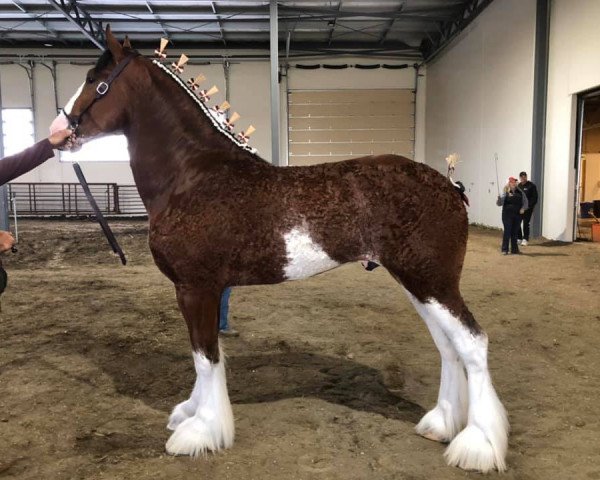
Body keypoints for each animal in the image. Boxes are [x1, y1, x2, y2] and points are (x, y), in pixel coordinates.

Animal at [51, 27, 508, 472]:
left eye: (95, 81)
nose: (58, 133)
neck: (192, 176)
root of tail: (449, 186)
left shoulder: (196, 288)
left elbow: (205, 356)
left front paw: (200, 432)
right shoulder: (196, 291)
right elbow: (204, 354)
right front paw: (192, 413)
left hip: (432, 282)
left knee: (472, 344)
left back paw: (477, 446)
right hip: (419, 285)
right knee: (448, 347)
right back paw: (441, 424)